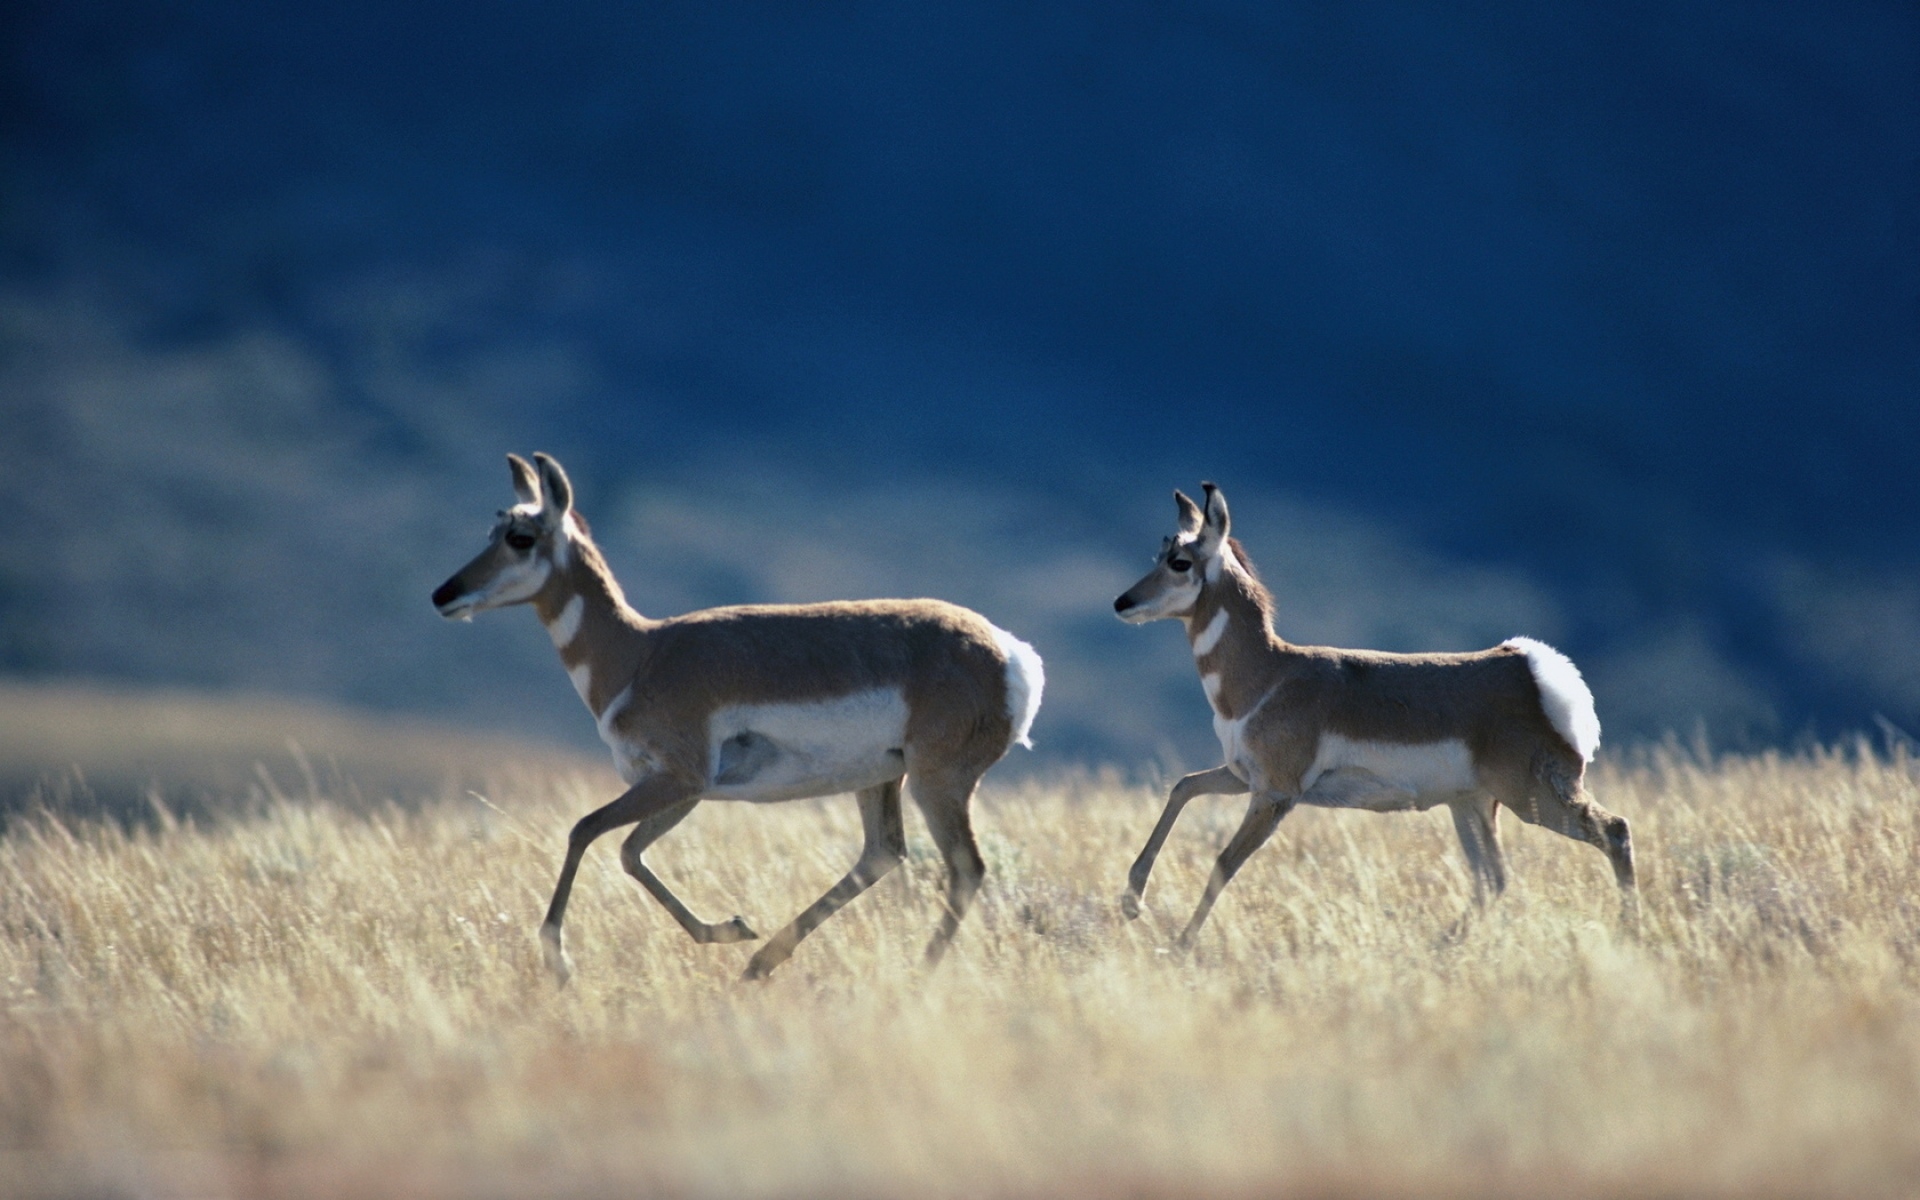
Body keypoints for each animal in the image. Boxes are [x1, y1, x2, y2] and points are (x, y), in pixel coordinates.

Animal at [433, 453, 1044, 979]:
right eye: (492, 531)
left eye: (520, 537)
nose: (444, 594)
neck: (640, 650)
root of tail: (1010, 650)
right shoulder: (684, 790)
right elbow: (629, 852)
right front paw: (729, 928)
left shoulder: (678, 779)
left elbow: (584, 830)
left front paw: (558, 961)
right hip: (880, 779)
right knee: (883, 854)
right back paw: (761, 961)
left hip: (934, 781)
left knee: (965, 867)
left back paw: (917, 974)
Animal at [1113, 481, 1635, 940]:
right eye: (1159, 555)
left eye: (1180, 561)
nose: (1122, 602)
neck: (1270, 672)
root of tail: (1525, 665)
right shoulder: (1244, 777)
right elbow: (1183, 787)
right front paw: (1131, 902)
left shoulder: (1275, 794)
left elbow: (1223, 862)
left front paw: (1181, 945)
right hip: (1472, 803)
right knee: (1493, 878)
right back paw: (1439, 946)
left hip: (1533, 799)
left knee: (1615, 830)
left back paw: (1630, 931)